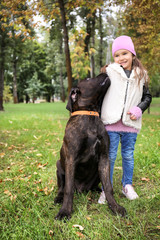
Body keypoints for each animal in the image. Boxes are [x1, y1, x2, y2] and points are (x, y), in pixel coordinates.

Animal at [54, 73, 127, 219]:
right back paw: (59, 198)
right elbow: (68, 189)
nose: (104, 72)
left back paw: (97, 189)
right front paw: (65, 211)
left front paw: (115, 207)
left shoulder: (104, 158)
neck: (90, 114)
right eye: (88, 79)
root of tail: (81, 189)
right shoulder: (71, 159)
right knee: (62, 187)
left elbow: (108, 186)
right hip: (59, 166)